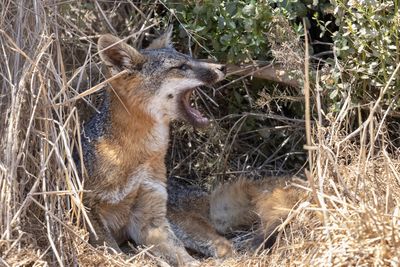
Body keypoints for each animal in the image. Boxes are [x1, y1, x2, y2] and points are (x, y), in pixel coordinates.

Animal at [79, 27, 225, 267]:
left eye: (190, 59)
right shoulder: (89, 208)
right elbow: (112, 253)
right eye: (181, 67)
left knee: (224, 244)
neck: (139, 156)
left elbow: (181, 255)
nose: (222, 67)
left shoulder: (151, 216)